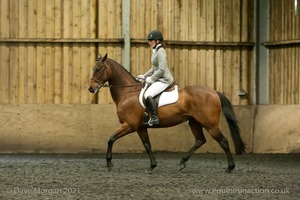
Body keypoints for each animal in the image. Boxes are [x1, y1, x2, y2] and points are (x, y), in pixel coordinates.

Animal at [88, 54, 246, 173]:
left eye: (99, 69)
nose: (91, 88)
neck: (128, 93)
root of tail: (214, 92)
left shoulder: (129, 125)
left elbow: (111, 139)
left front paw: (109, 163)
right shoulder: (140, 128)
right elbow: (147, 145)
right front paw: (152, 166)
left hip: (210, 124)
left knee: (223, 141)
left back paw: (230, 167)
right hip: (194, 122)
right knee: (200, 140)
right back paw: (182, 162)